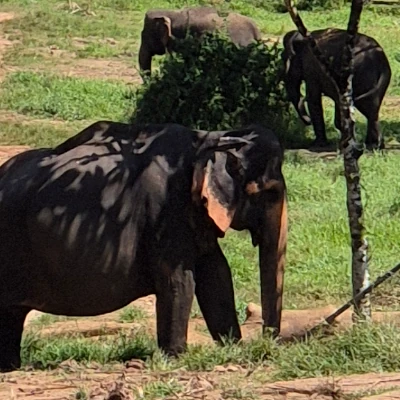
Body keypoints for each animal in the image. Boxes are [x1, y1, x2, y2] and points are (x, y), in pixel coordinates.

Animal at [0, 119, 288, 372]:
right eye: (269, 193)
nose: (266, 346)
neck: (209, 138)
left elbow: (216, 275)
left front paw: (232, 348)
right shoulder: (163, 211)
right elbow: (180, 280)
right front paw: (176, 359)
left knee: (12, 314)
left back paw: (10, 367)